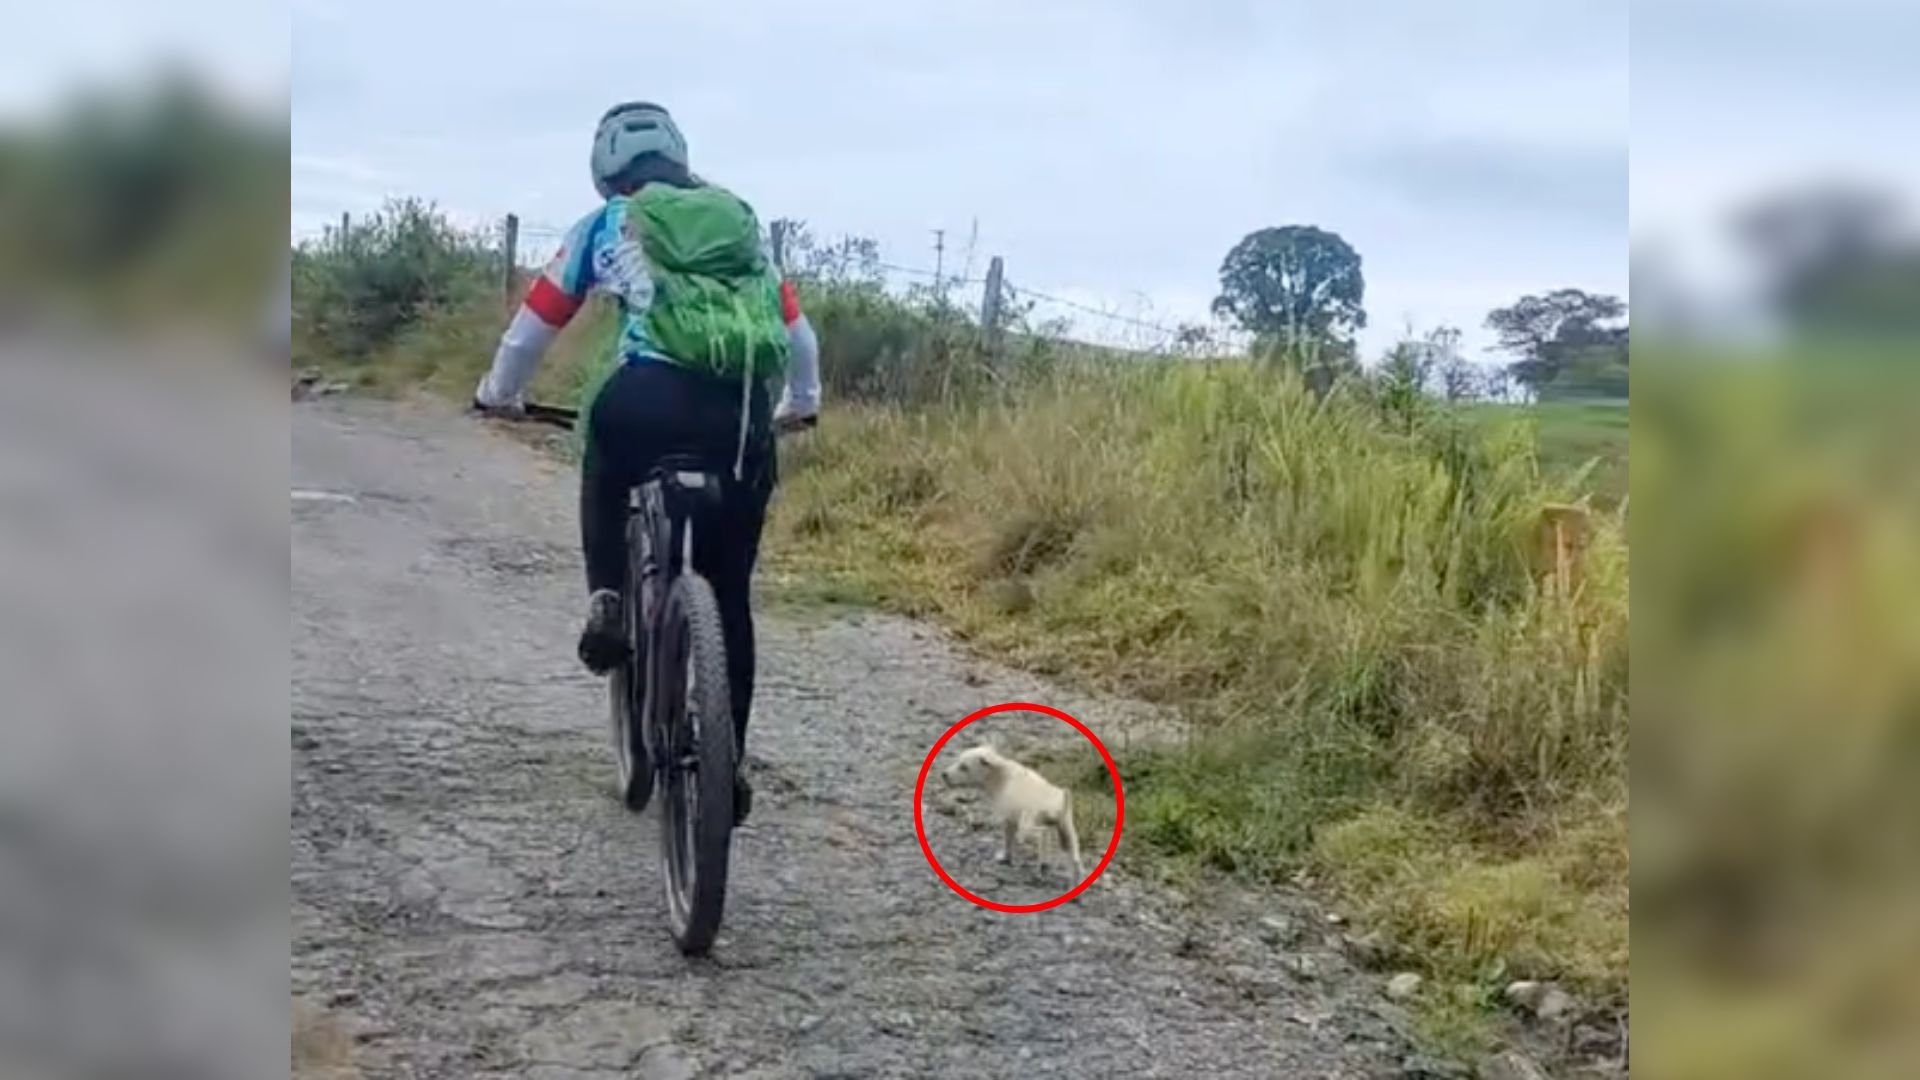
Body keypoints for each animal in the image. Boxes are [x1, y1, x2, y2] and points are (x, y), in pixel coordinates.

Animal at [940, 745, 1082, 880]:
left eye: (964, 767)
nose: (944, 774)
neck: (999, 773)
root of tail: (1059, 803)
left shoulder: (1008, 819)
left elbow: (1008, 839)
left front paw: (1005, 858)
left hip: (1028, 826)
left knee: (1042, 834)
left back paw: (1041, 867)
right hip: (1067, 830)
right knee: (1074, 857)